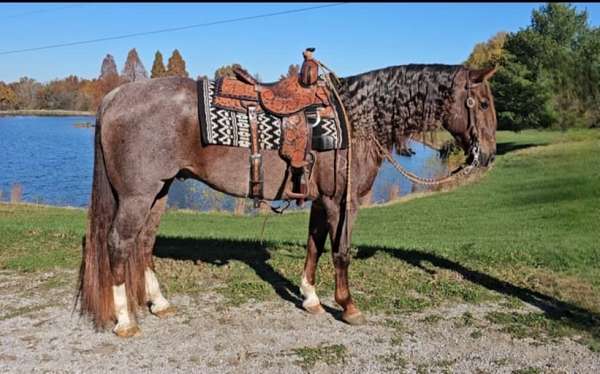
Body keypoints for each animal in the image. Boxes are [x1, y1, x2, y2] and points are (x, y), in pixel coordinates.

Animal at [77, 62, 496, 338]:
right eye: (483, 104)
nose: (488, 155)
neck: (356, 119)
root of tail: (116, 95)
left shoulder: (320, 200)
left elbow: (314, 246)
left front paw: (310, 297)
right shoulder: (342, 201)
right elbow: (341, 251)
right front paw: (348, 306)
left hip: (159, 192)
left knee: (144, 244)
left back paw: (159, 303)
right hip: (137, 195)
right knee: (119, 244)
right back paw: (125, 320)